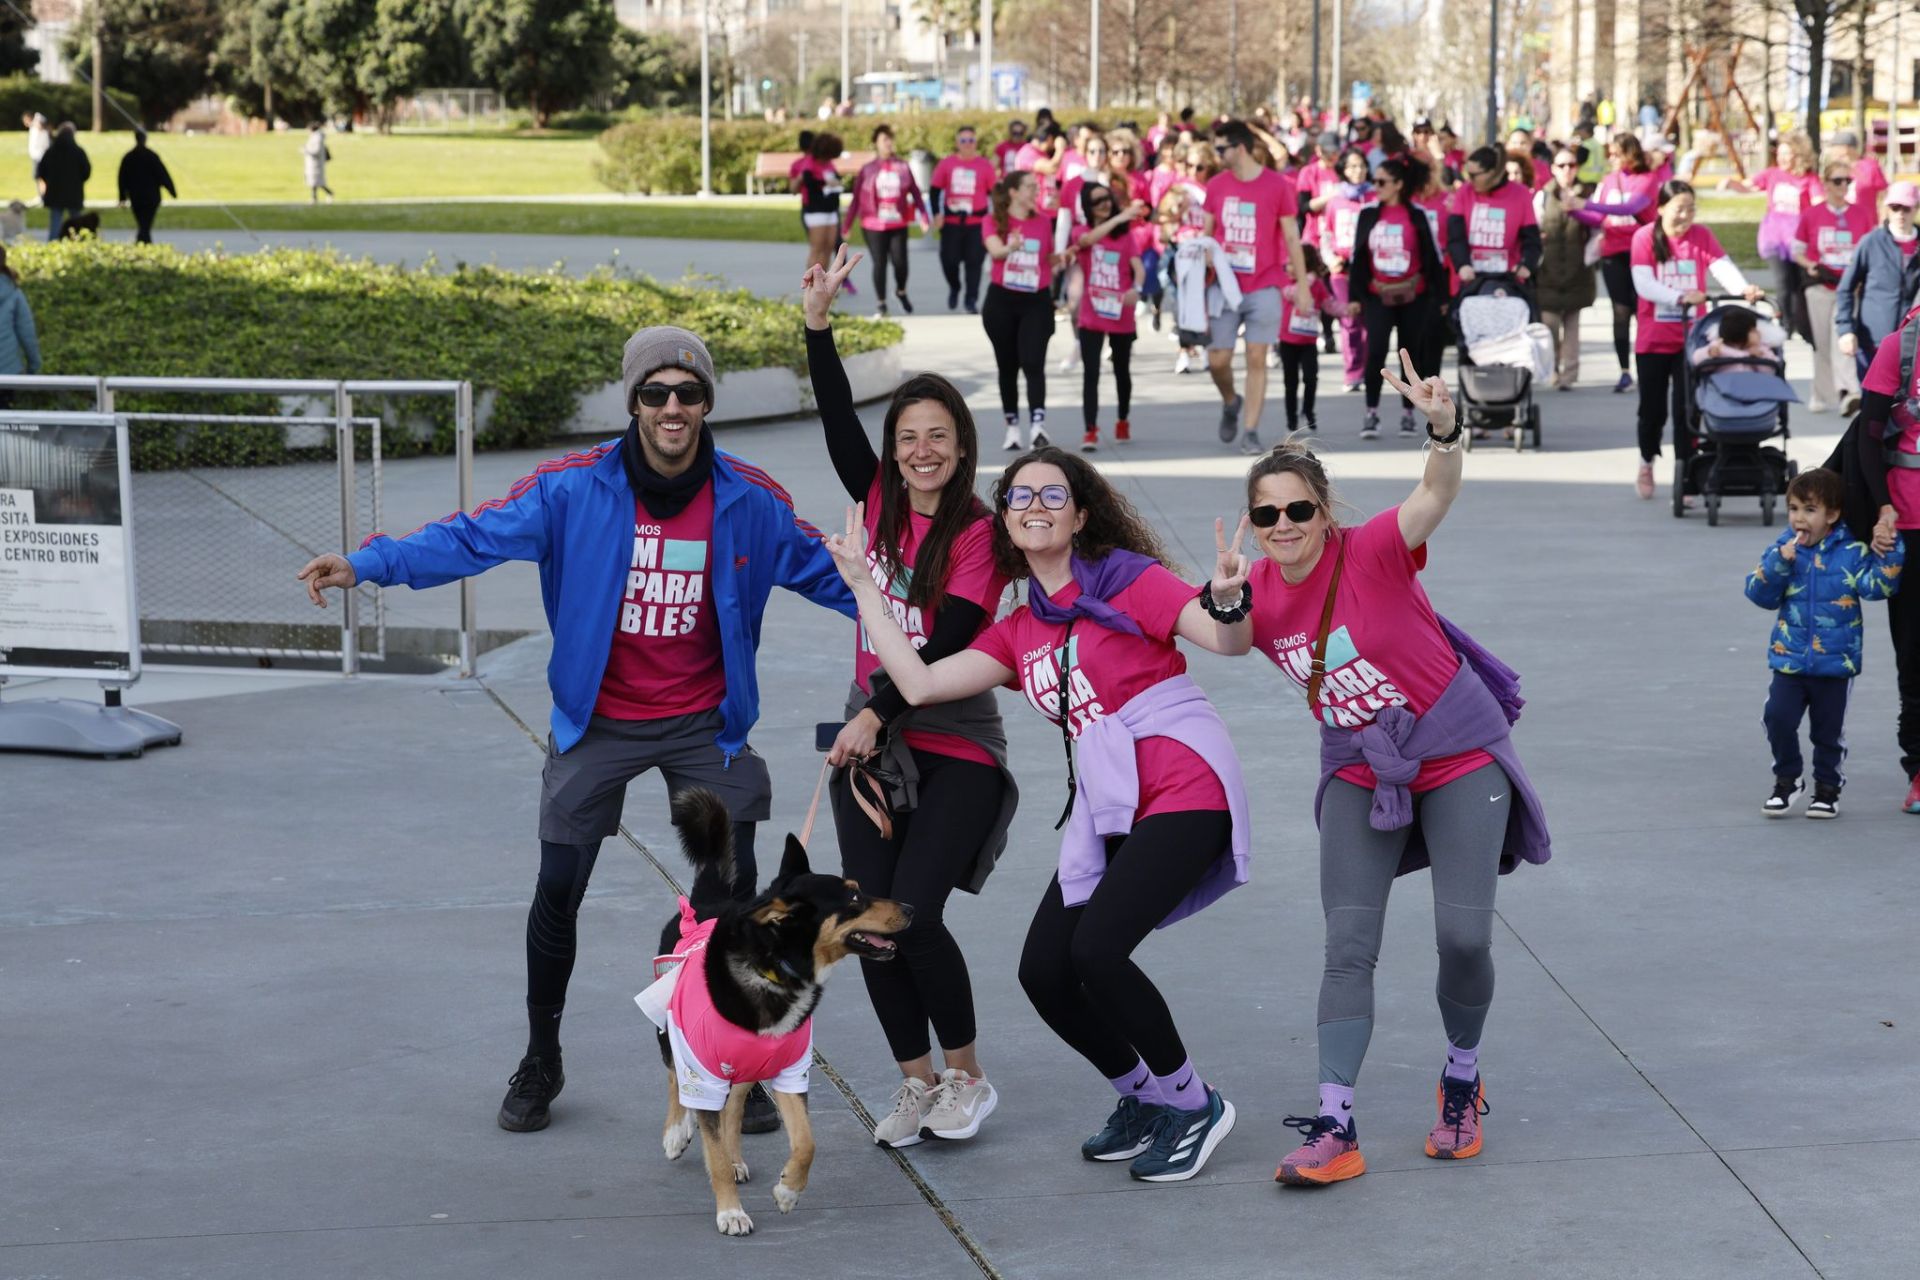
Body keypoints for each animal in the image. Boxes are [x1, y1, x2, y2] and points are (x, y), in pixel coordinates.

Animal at [648, 786, 910, 1235]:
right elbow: (712, 1147)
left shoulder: (791, 1070)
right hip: (673, 1033)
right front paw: (730, 1212)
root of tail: (707, 902)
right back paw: (677, 1133)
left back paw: (735, 1157)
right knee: (674, 1080)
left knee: (734, 1107)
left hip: (743, 1065)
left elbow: (806, 1141)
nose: (910, 909)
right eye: (854, 898)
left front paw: (788, 1190)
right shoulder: (703, 1067)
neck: (775, 969)